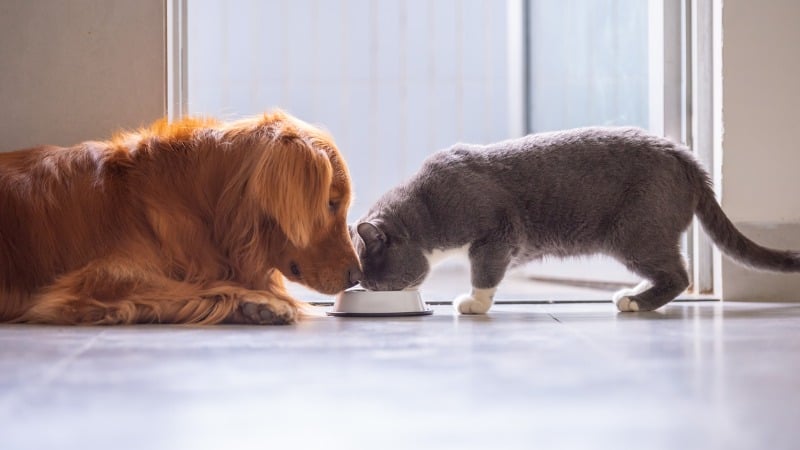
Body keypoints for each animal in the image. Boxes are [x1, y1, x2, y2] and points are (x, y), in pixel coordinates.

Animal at [354, 127, 800, 312]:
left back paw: (635, 302)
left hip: (636, 233)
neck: (428, 206)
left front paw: (473, 304)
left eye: (373, 279)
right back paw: (635, 294)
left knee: (679, 275)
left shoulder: (496, 234)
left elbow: (485, 272)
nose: (367, 288)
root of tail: (685, 156)